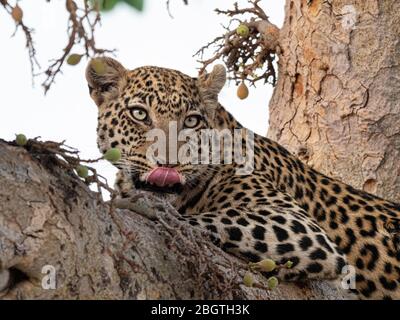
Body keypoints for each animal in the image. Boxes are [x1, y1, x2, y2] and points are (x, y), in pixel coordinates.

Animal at [85, 57, 400, 300]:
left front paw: (149, 210)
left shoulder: (300, 227)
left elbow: (204, 219)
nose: (169, 163)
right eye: (139, 114)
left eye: (191, 121)